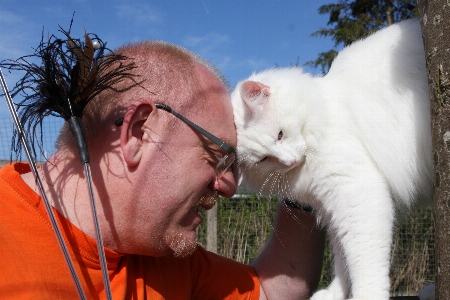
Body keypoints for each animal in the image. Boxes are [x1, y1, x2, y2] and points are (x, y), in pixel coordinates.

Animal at [230, 19, 430, 300]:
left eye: (280, 135)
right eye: (264, 159)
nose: (290, 161)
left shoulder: (356, 192)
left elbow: (363, 261)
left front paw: (366, 296)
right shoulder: (333, 206)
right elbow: (343, 258)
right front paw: (336, 293)